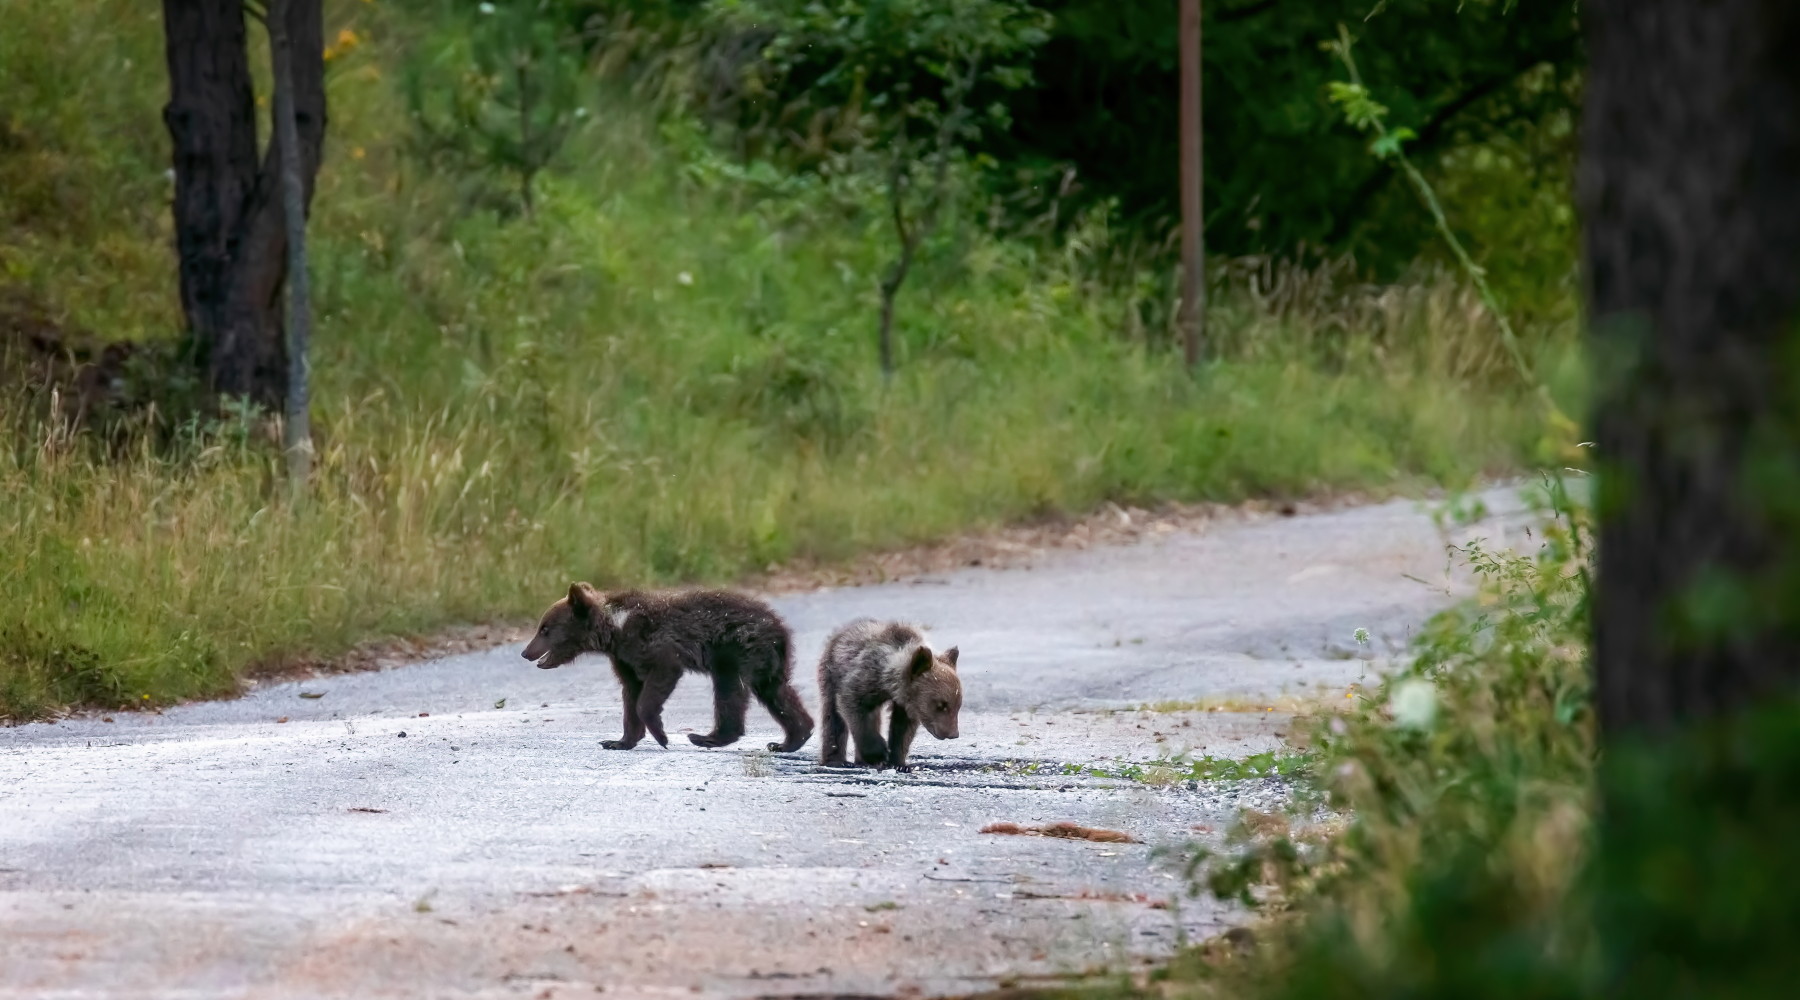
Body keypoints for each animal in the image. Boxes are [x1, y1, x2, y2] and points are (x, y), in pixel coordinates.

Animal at [521, 583, 814, 753]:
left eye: (545, 629)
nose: (525, 652)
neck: (615, 630)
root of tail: (780, 627)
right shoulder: (624, 659)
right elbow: (630, 693)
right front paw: (619, 741)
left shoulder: (652, 644)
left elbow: (655, 685)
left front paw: (661, 736)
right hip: (766, 661)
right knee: (777, 692)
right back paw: (789, 739)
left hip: (736, 649)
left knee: (730, 690)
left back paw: (706, 737)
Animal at [817, 618, 962, 772]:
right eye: (941, 705)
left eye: (958, 705)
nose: (953, 734)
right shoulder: (863, 678)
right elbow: (853, 707)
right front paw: (880, 753)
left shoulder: (908, 704)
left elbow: (902, 728)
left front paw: (899, 763)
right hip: (831, 672)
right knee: (832, 715)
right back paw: (837, 761)